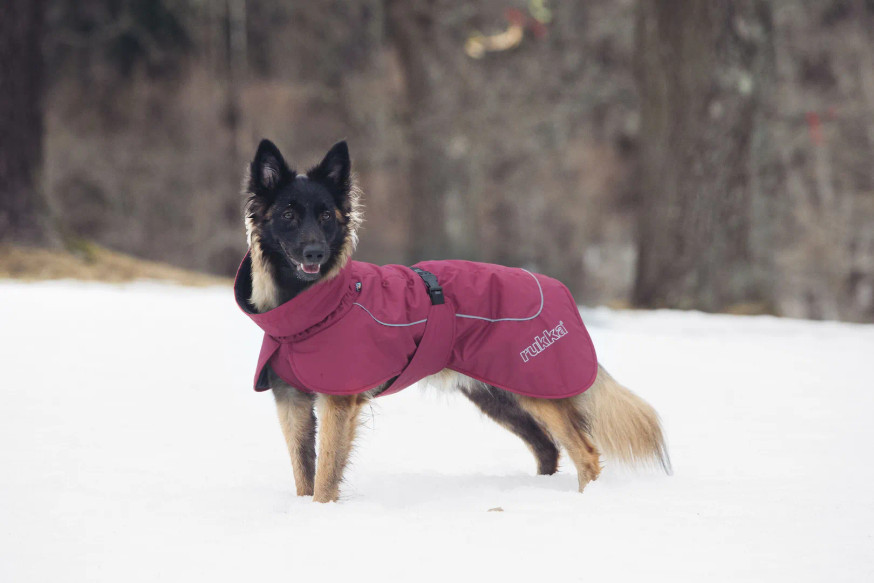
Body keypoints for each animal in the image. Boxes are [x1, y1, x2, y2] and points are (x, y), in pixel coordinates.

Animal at [233, 140, 668, 502]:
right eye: (289, 214)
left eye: (326, 216)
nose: (315, 252)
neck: (312, 310)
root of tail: (557, 288)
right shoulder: (291, 402)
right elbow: (303, 473)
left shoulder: (338, 402)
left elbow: (324, 476)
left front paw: (322, 513)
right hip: (499, 395)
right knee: (548, 448)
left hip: (535, 390)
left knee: (586, 454)